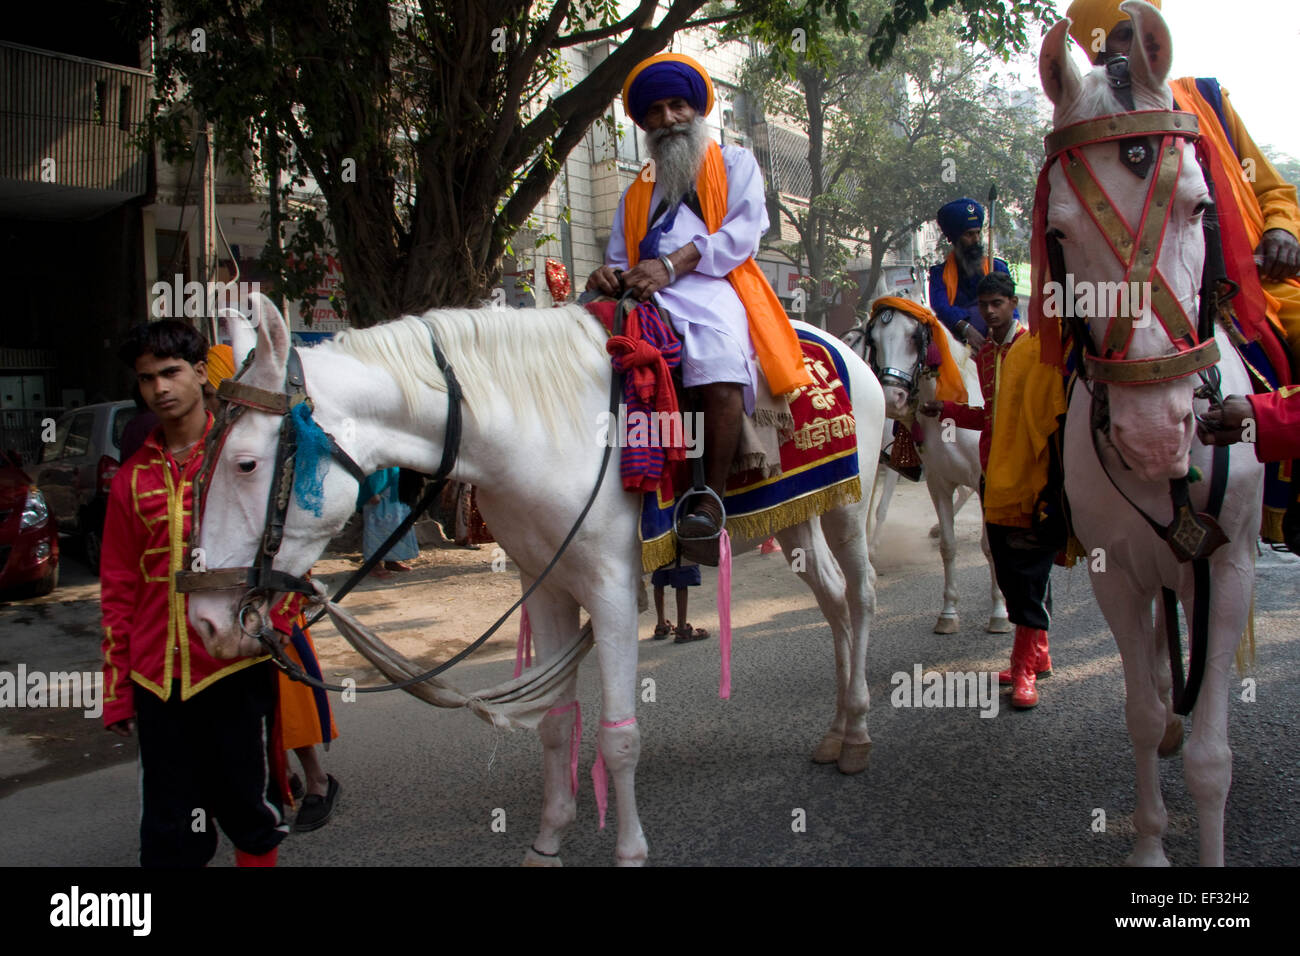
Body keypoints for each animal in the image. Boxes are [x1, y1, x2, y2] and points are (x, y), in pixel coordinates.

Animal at [188, 293, 889, 868]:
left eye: (246, 464)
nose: (205, 620)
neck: (534, 430)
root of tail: (840, 346)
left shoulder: (611, 591)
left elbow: (619, 738)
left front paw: (629, 852)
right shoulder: (547, 585)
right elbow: (554, 723)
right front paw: (548, 842)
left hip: (846, 507)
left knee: (860, 597)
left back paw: (858, 734)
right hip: (796, 516)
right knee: (833, 603)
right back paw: (835, 732)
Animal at [863, 306, 1013, 634]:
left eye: (913, 337)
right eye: (875, 340)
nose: (891, 399)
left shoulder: (984, 482)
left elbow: (990, 546)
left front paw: (999, 612)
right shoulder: (937, 482)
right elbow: (948, 545)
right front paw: (948, 613)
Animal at [1040, 1, 1263, 868]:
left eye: (1200, 206)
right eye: (1059, 235)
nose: (1150, 432)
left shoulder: (1228, 568)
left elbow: (1212, 758)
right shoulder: (1115, 573)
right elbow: (1137, 713)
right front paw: (1148, 845)